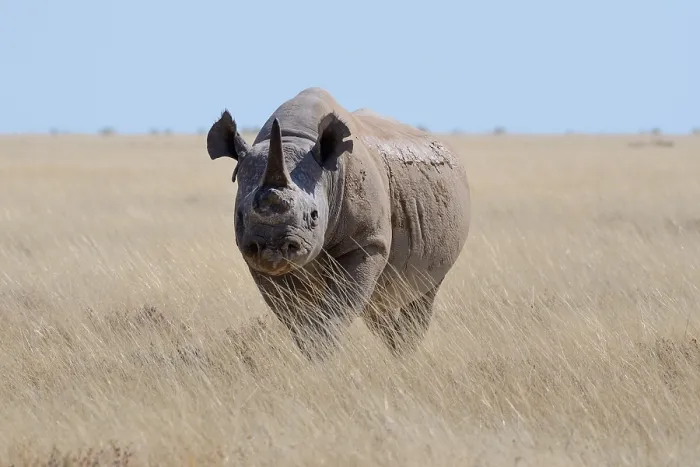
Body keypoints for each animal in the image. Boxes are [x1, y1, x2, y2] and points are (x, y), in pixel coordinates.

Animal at [206, 87, 471, 359]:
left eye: (314, 216)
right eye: (240, 215)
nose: (272, 248)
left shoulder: (367, 242)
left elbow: (337, 309)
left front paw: (322, 356)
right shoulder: (255, 260)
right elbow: (293, 315)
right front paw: (314, 355)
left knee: (423, 292)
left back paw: (404, 356)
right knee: (379, 304)